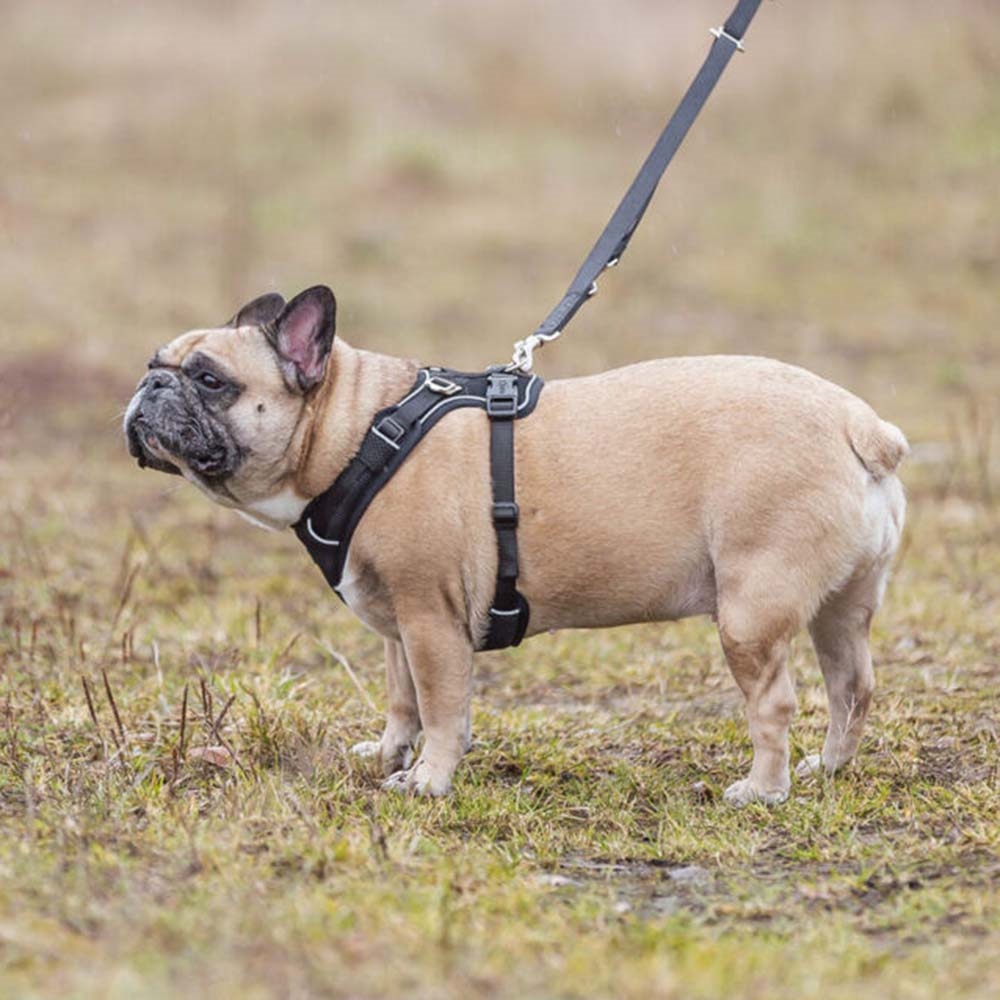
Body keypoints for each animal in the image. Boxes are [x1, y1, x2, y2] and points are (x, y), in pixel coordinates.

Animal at [125, 285, 908, 804]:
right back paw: (828, 769)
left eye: (209, 380)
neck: (358, 430)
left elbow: (442, 708)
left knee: (774, 704)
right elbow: (402, 699)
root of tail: (860, 424)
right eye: (155, 362)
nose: (149, 386)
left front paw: (428, 779)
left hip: (751, 611)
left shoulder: (431, 620)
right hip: (842, 605)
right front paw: (388, 754)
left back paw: (762, 788)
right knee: (853, 686)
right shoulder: (398, 622)